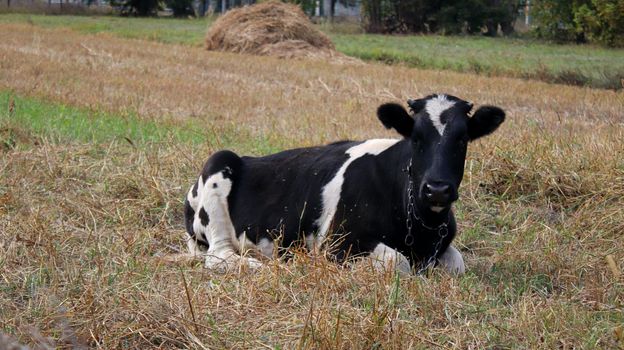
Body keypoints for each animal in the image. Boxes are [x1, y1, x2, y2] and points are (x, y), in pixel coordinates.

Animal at [183, 94, 504, 274]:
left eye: (462, 139)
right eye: (415, 137)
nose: (437, 189)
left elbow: (457, 266)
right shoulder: (337, 244)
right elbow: (397, 263)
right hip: (218, 165)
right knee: (218, 255)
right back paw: (253, 266)